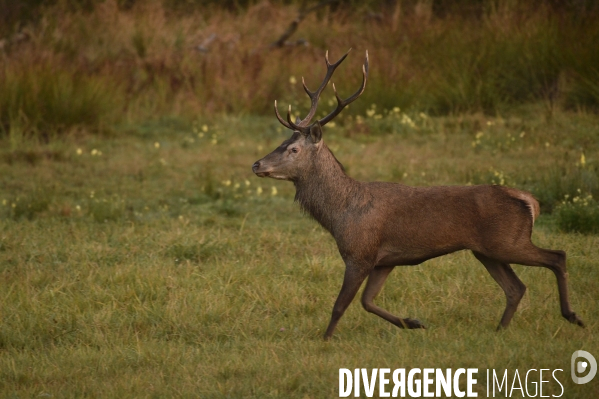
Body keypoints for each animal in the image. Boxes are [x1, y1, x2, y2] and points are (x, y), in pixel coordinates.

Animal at [253, 48, 584, 340]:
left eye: (294, 149)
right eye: (282, 142)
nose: (256, 164)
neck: (340, 215)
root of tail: (531, 202)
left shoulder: (360, 253)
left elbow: (340, 305)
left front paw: (325, 340)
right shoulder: (384, 260)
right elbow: (367, 302)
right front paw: (413, 323)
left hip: (508, 241)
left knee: (557, 256)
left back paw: (571, 315)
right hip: (487, 251)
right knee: (516, 288)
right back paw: (499, 331)